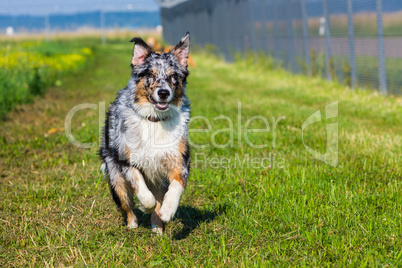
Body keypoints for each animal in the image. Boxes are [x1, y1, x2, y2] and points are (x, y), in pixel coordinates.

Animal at [98, 33, 190, 234]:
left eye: (173, 76)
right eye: (150, 74)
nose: (163, 93)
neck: (154, 120)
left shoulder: (179, 160)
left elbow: (175, 187)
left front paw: (167, 211)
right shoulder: (127, 160)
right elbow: (142, 191)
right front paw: (146, 207)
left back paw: (157, 227)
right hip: (115, 177)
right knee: (126, 203)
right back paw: (132, 224)